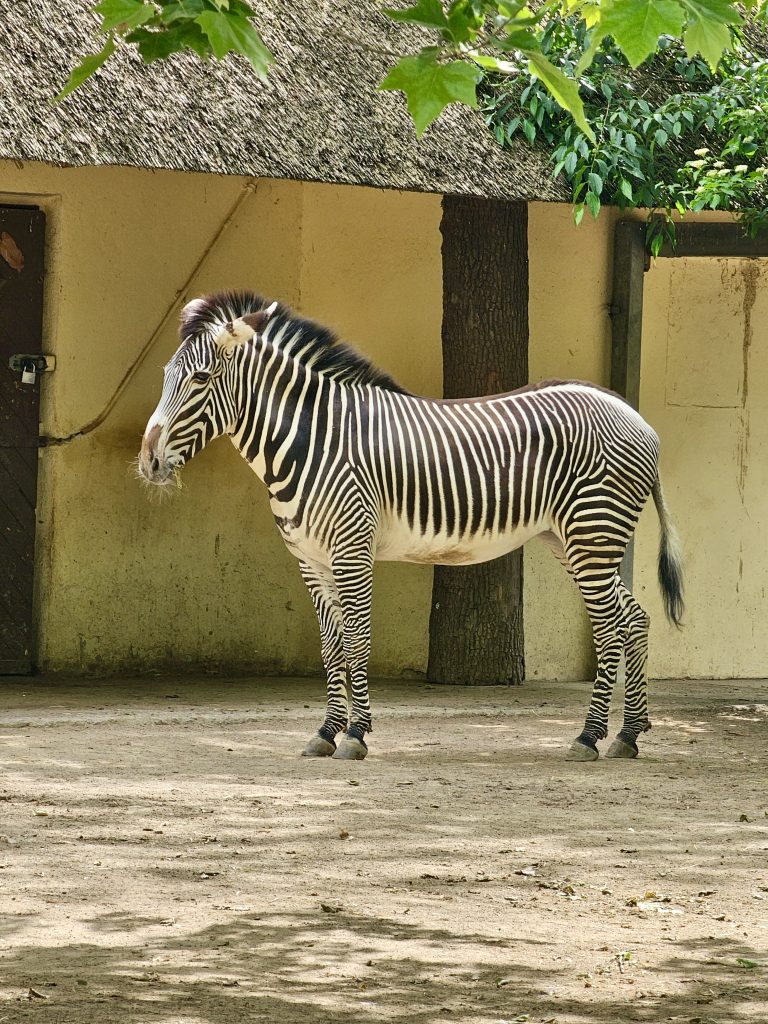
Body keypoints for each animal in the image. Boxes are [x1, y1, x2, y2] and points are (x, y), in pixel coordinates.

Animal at [140, 288, 684, 761]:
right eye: (165, 375)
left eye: (200, 379)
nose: (148, 462)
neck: (310, 438)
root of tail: (636, 416)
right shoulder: (310, 559)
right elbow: (331, 647)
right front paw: (325, 733)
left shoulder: (351, 547)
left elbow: (357, 640)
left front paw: (356, 734)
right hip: (574, 541)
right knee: (635, 618)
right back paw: (629, 735)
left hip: (593, 532)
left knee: (611, 628)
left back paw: (589, 737)